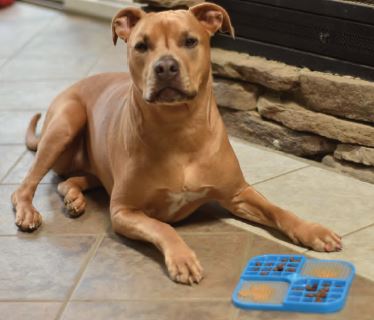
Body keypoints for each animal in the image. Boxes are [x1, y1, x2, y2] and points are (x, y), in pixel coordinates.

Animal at [12, 3, 342, 284]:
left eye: (190, 41)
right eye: (141, 46)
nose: (166, 67)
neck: (179, 130)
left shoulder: (237, 193)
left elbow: (278, 210)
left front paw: (312, 230)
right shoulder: (123, 211)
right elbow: (163, 226)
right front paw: (182, 258)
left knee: (73, 180)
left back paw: (74, 196)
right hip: (66, 122)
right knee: (26, 185)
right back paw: (28, 211)